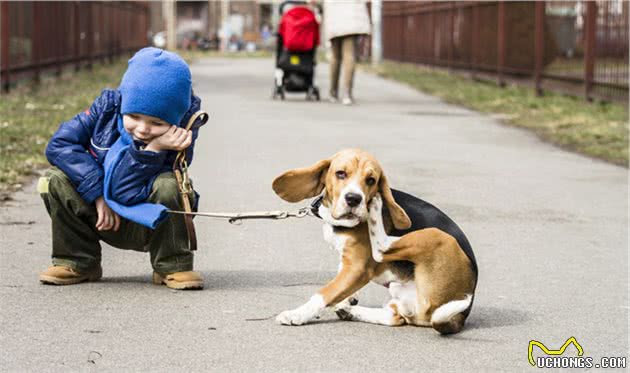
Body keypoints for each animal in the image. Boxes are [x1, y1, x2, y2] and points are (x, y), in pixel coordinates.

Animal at [272, 147, 478, 332]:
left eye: (371, 180)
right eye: (340, 174)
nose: (354, 199)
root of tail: (461, 315)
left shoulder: (358, 268)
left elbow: (324, 293)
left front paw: (297, 314)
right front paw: (346, 299)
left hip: (438, 236)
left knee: (381, 249)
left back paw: (377, 207)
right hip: (401, 292)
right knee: (395, 317)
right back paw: (351, 312)